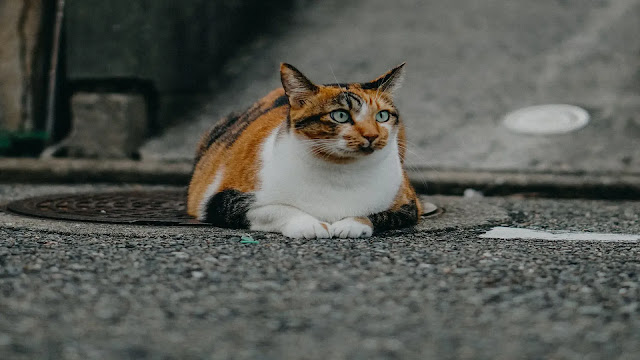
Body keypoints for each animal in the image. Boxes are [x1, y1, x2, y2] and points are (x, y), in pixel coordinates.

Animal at [188, 63, 422, 238]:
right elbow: (276, 209)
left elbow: (377, 214)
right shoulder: (222, 201)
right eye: (340, 115)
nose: (372, 135)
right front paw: (310, 225)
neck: (341, 171)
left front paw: (351, 224)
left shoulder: (408, 205)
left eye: (382, 116)